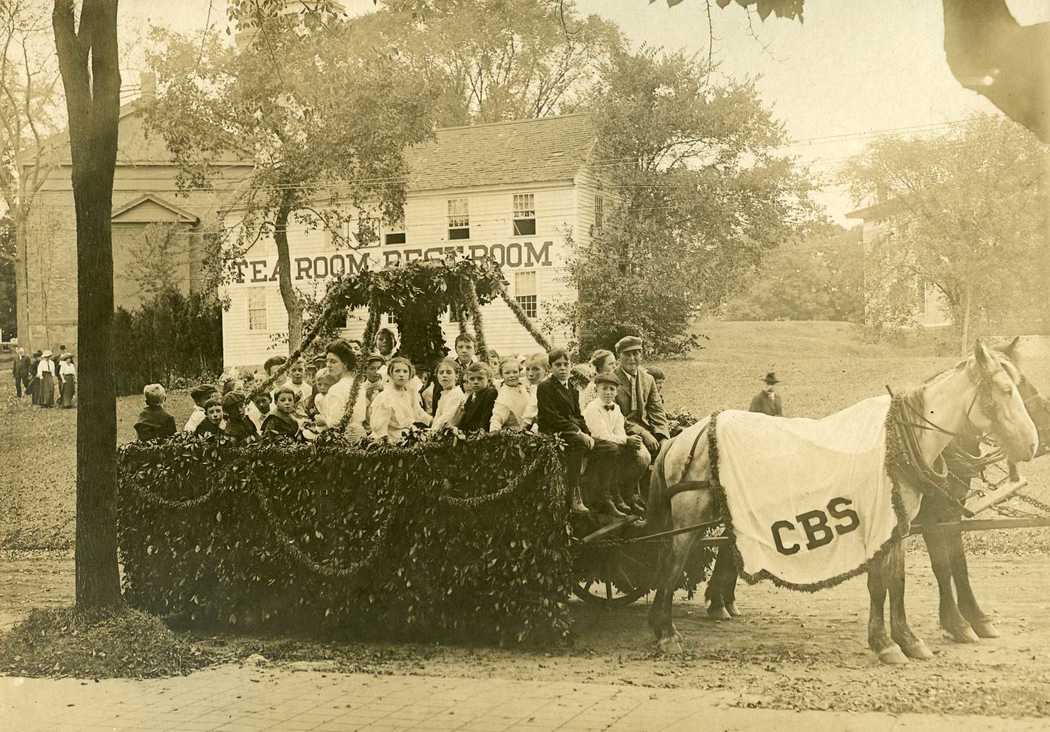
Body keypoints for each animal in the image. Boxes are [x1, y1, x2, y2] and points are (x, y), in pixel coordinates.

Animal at [646, 340, 1041, 663]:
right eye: (1007, 388)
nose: (1032, 443)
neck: (896, 442)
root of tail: (686, 435)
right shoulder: (886, 523)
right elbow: (889, 582)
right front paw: (889, 643)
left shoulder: (897, 526)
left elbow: (895, 580)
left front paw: (906, 640)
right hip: (688, 519)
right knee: (670, 565)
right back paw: (666, 633)